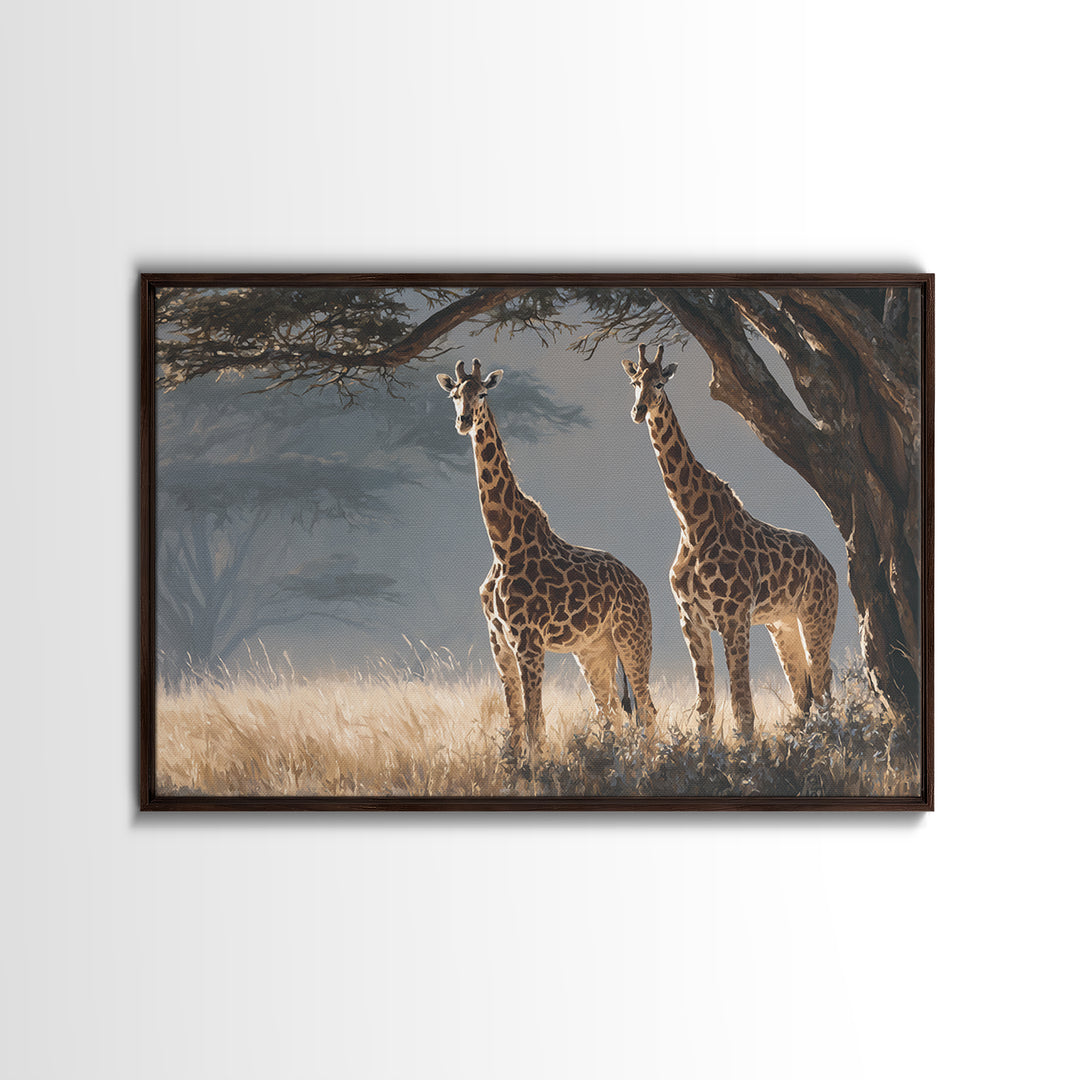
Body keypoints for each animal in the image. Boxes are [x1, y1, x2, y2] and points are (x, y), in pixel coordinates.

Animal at [437, 358, 657, 759]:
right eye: (454, 394)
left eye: (483, 393)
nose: (464, 420)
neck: (502, 544)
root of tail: (641, 586)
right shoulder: (499, 640)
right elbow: (515, 719)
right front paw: (515, 768)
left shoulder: (528, 640)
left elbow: (533, 720)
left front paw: (539, 768)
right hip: (593, 650)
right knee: (610, 710)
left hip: (632, 638)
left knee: (646, 708)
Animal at [622, 344, 838, 738]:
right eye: (635, 382)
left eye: (660, 383)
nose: (639, 411)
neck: (691, 522)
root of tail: (828, 565)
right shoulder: (690, 619)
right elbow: (705, 706)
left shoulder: (733, 617)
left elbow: (742, 706)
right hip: (781, 624)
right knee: (803, 690)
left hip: (816, 615)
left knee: (823, 683)